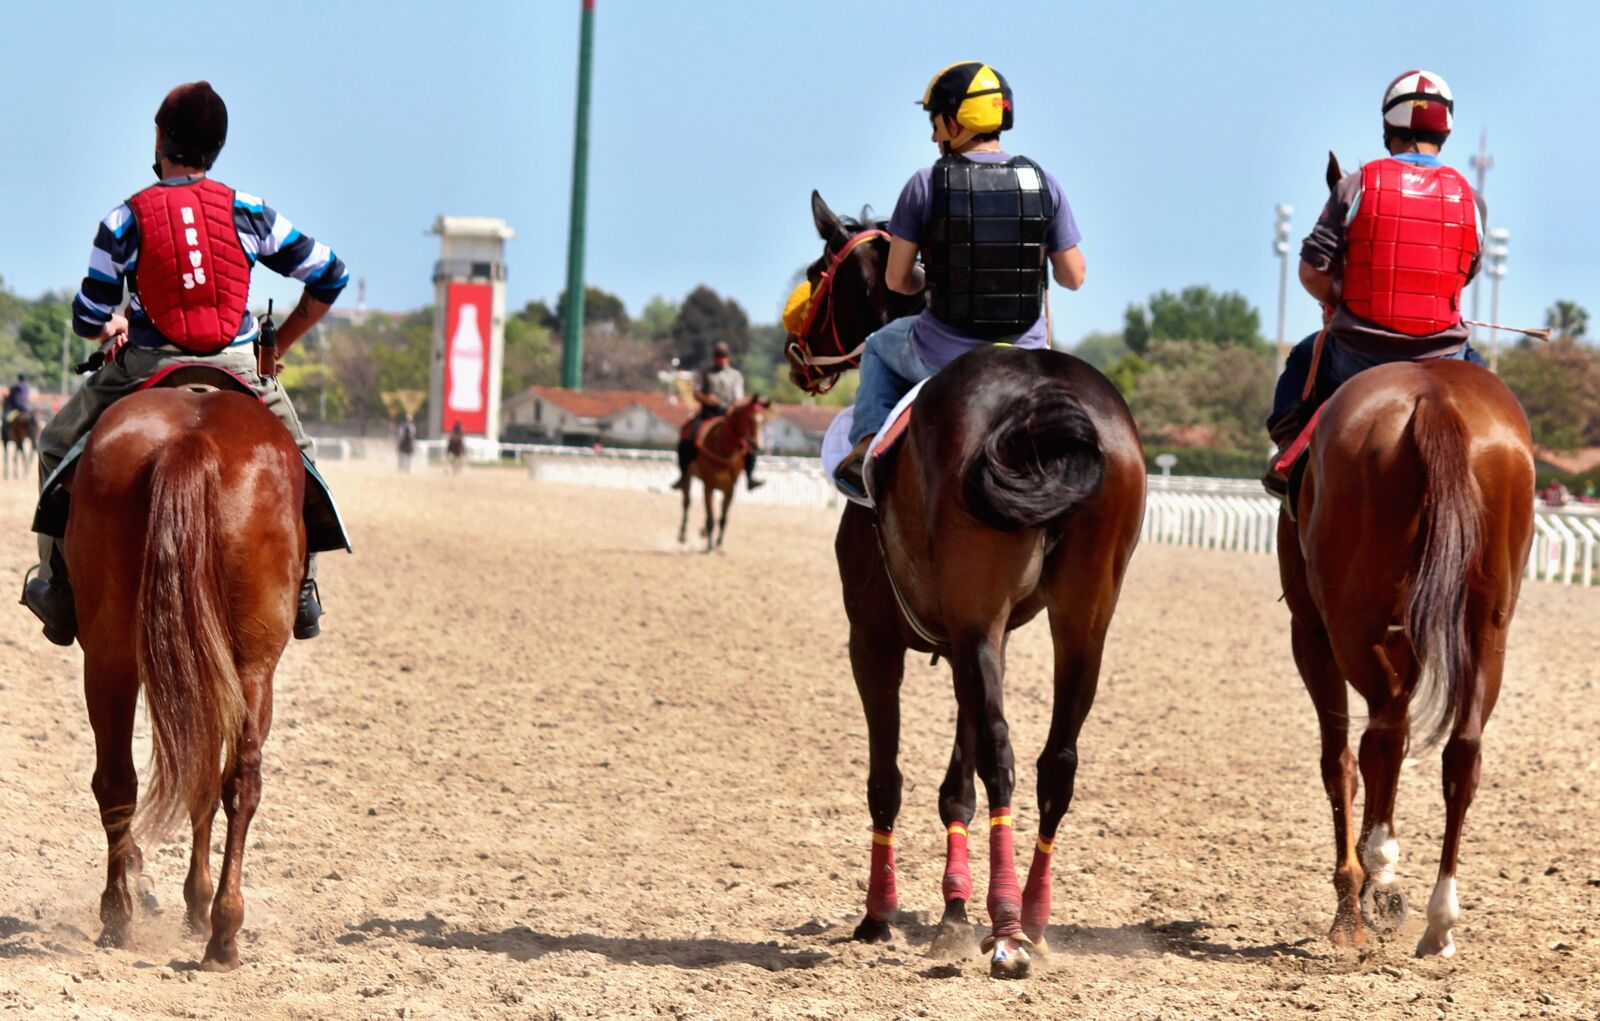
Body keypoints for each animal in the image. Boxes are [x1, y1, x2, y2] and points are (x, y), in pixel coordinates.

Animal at [66, 387, 302, 972]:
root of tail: (190, 441)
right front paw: (196, 902)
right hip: (250, 666)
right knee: (235, 782)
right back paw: (218, 931)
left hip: (110, 656)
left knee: (120, 781)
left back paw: (123, 916)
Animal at [675, 398, 768, 556]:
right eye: (750, 420)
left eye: (764, 421)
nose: (757, 446)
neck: (724, 450)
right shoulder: (709, 486)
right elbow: (711, 518)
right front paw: (709, 547)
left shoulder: (730, 488)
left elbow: (723, 518)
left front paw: (718, 545)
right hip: (688, 476)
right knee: (687, 502)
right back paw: (683, 534)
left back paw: (703, 532)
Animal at [793, 196, 1145, 979]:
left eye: (816, 272)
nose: (795, 352)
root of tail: (1046, 399)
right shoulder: (971, 636)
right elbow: (957, 782)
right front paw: (953, 913)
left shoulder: (876, 638)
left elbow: (888, 777)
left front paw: (879, 915)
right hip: (1085, 619)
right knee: (1055, 762)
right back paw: (1032, 917)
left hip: (980, 618)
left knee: (1005, 756)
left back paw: (1008, 929)